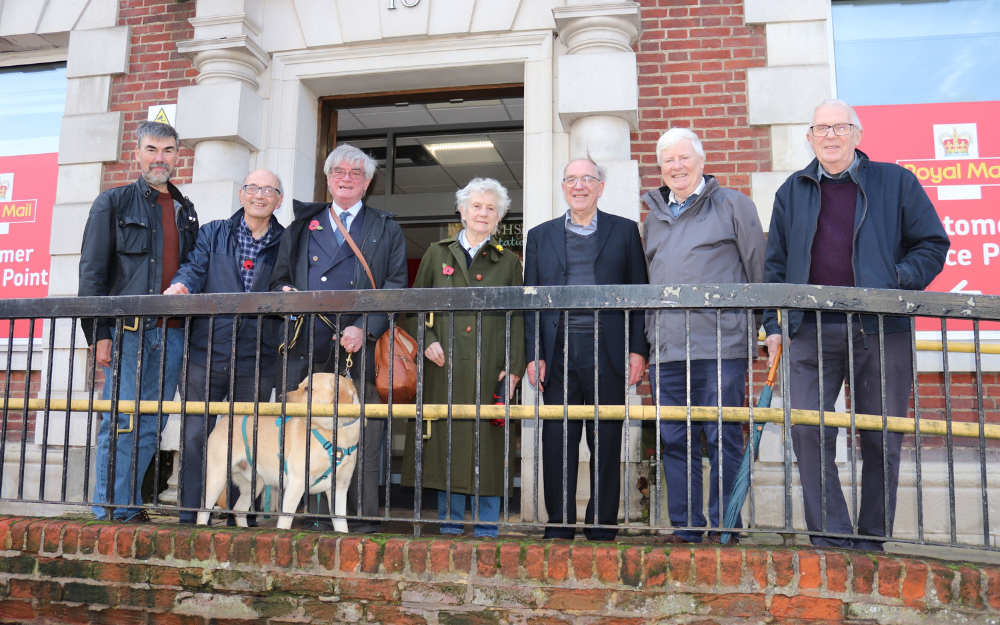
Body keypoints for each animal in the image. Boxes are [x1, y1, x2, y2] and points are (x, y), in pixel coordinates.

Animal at [197, 372, 362, 528]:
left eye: (308, 388)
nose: (282, 396)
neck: (336, 437)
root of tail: (225, 417)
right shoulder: (296, 484)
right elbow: (285, 523)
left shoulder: (340, 489)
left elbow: (342, 526)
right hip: (217, 478)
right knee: (202, 512)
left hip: (254, 484)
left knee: (239, 510)